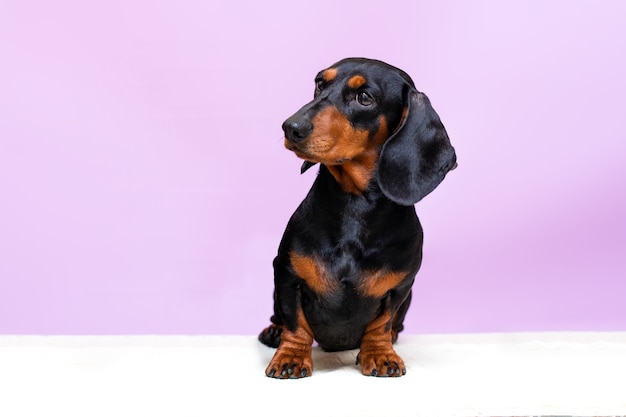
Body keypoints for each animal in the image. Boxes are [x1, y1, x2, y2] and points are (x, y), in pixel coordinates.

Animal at [256, 57, 456, 376]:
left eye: (364, 97)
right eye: (319, 83)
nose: (291, 127)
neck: (355, 207)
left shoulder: (400, 288)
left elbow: (381, 323)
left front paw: (380, 353)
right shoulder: (286, 275)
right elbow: (295, 322)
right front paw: (291, 356)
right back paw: (274, 332)